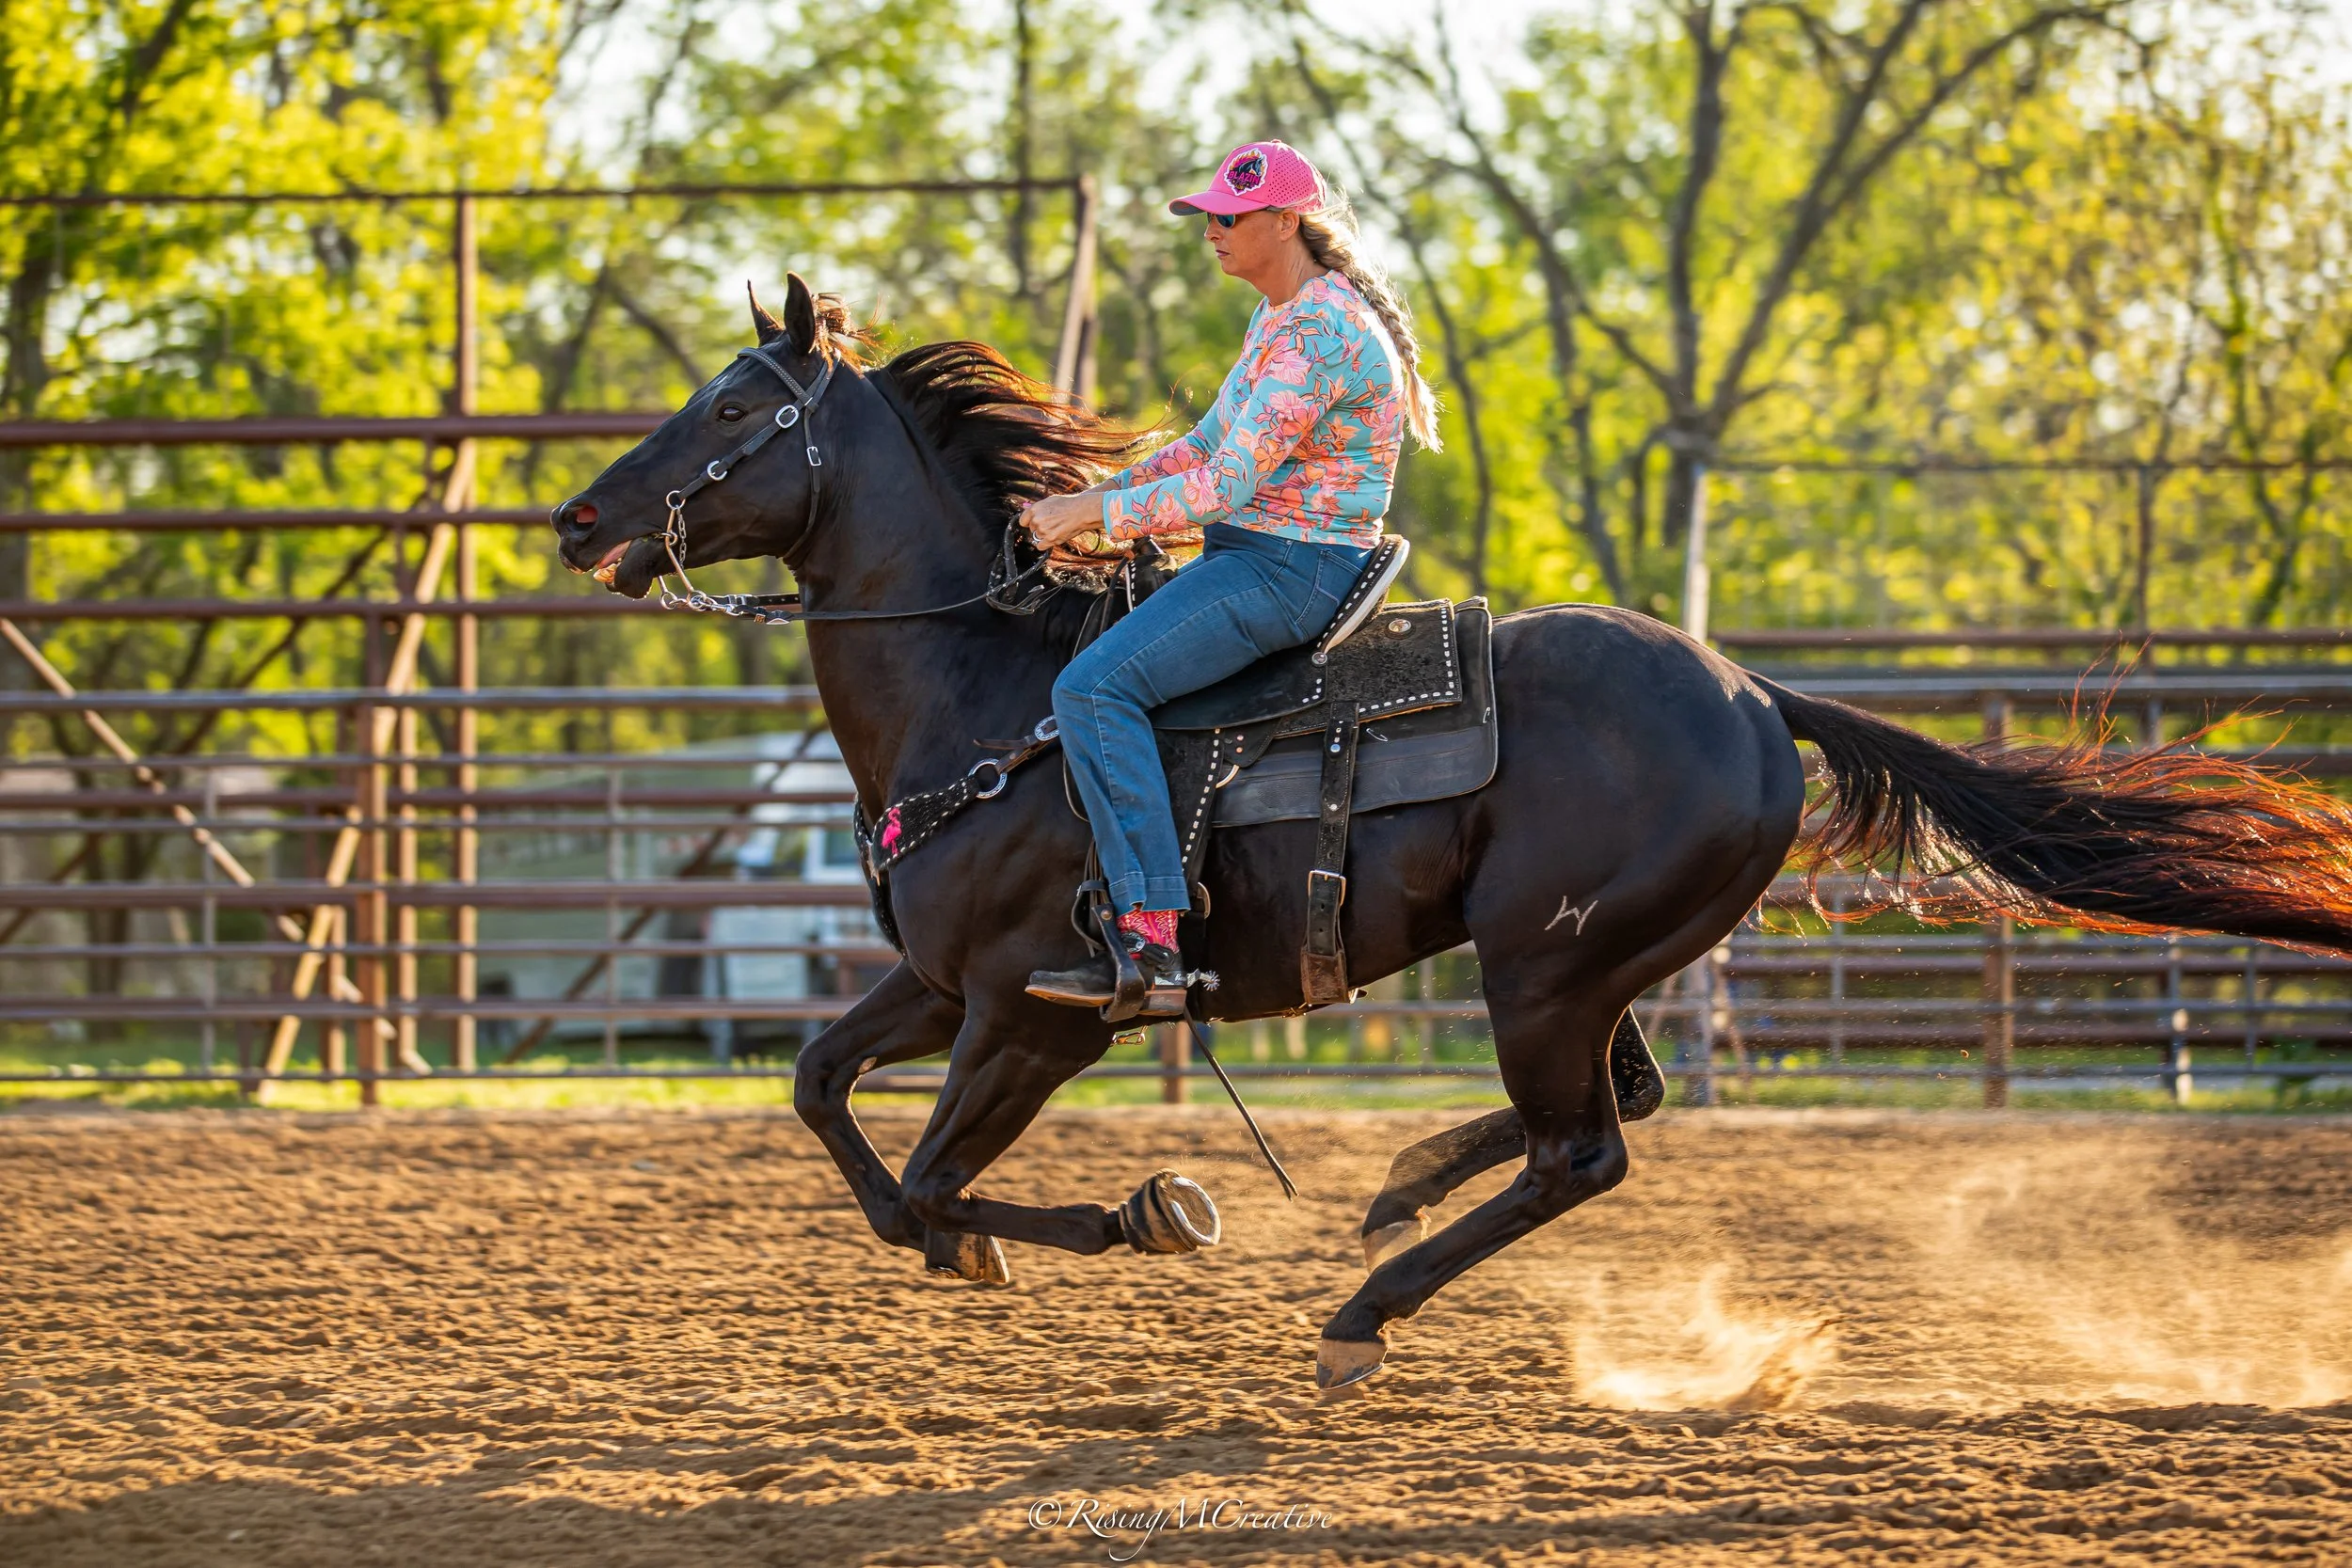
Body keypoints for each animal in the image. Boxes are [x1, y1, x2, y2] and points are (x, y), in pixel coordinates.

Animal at [551, 275, 2352, 1388]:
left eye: (734, 408)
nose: (577, 520)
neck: (999, 696)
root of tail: (1748, 686)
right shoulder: (935, 985)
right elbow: (823, 1094)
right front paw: (986, 1248)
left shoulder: (1037, 1012)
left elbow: (934, 1172)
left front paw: (1148, 1212)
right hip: (1588, 964)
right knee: (1616, 1108)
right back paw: (1395, 1193)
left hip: (1538, 969)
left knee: (1586, 1146)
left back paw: (1361, 1305)